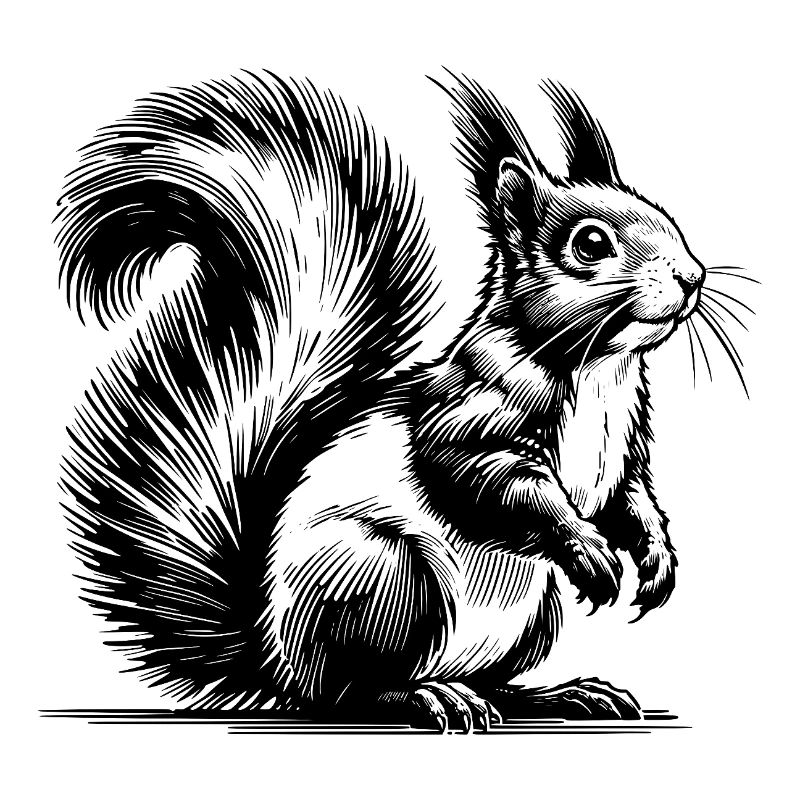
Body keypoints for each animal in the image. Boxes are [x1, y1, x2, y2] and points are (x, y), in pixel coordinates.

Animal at [56, 69, 705, 730]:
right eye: (589, 244)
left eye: (662, 216)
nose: (692, 277)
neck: (598, 370)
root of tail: (270, 657)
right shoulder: (469, 410)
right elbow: (493, 480)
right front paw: (588, 550)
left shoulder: (625, 445)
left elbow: (632, 498)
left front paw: (656, 560)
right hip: (387, 582)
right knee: (346, 691)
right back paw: (426, 697)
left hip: (531, 617)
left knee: (491, 681)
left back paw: (557, 694)